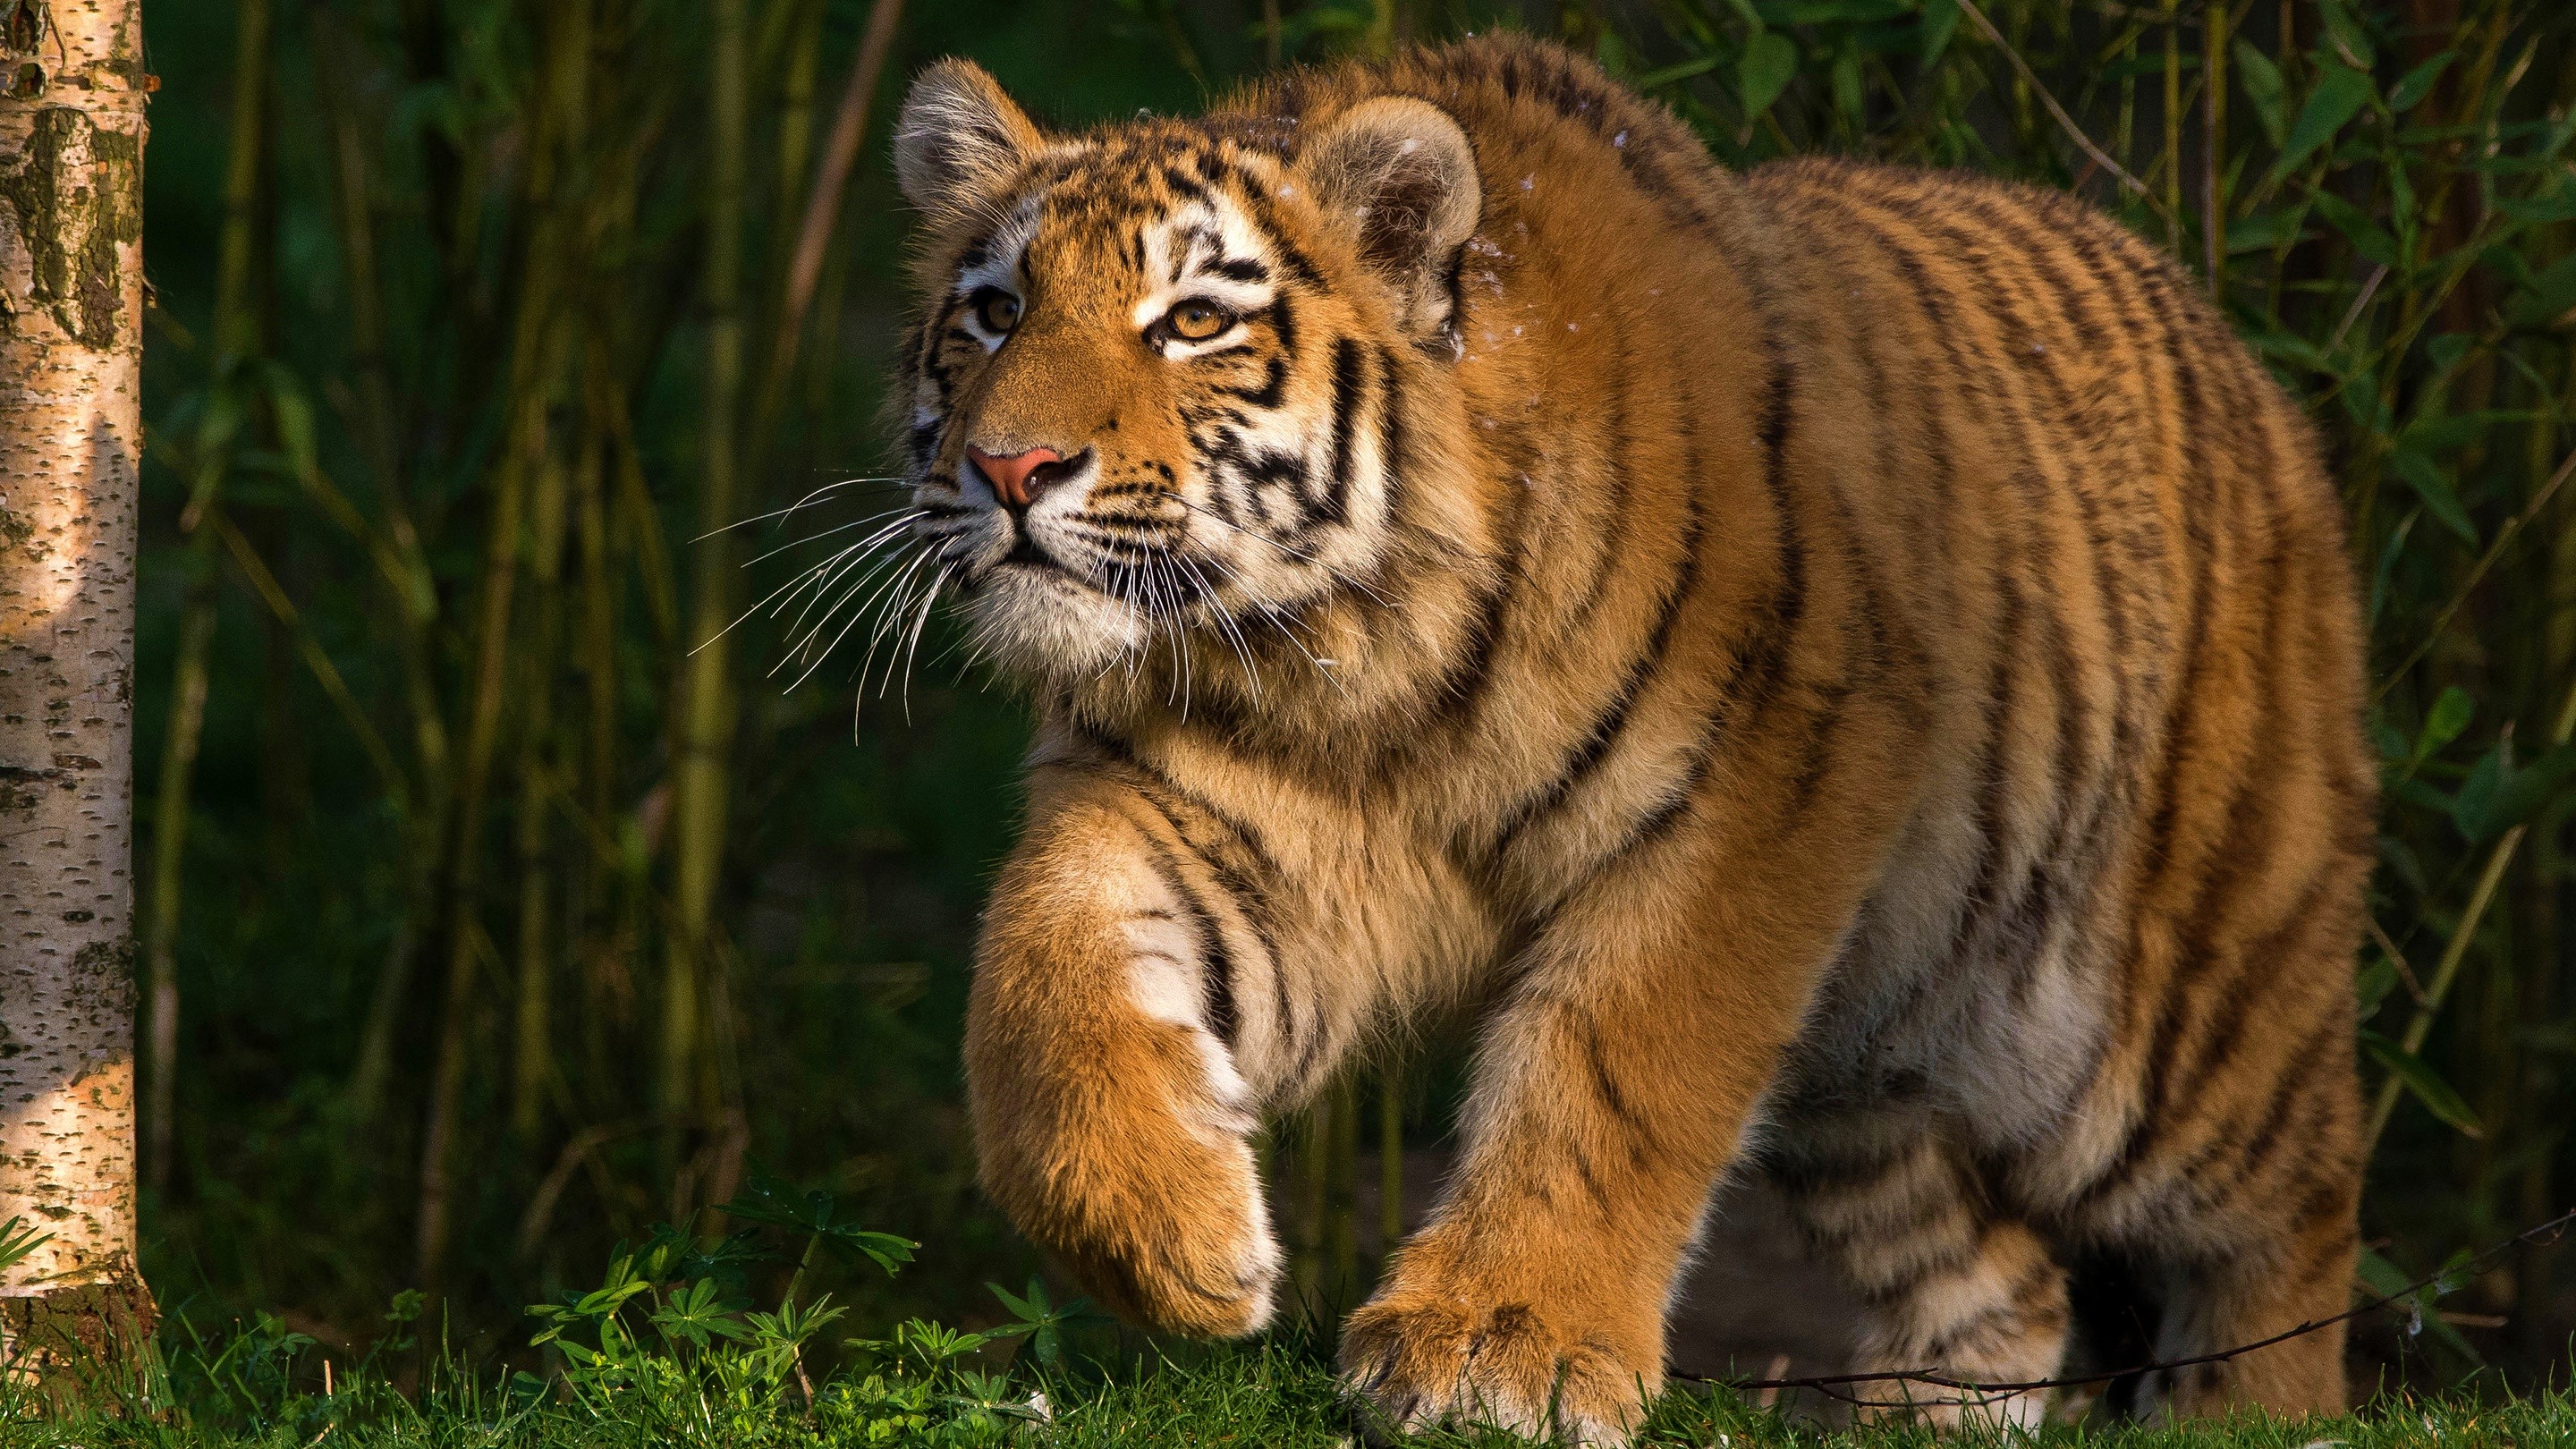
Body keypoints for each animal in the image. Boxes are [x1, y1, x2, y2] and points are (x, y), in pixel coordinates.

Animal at [886, 28, 2369, 1433]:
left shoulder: (1753, 789)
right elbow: (1040, 974)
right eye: (997, 312)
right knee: (1998, 1281)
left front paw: (1505, 1348)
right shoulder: (1214, 820)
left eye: (1192, 319)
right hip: (1867, 1071)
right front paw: (1178, 1249)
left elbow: (1616, 1067)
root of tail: (2238, 351)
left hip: (2150, 1025)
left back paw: (2261, 1411)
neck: (1353, 664)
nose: (1011, 468)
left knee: (2293, 1207)